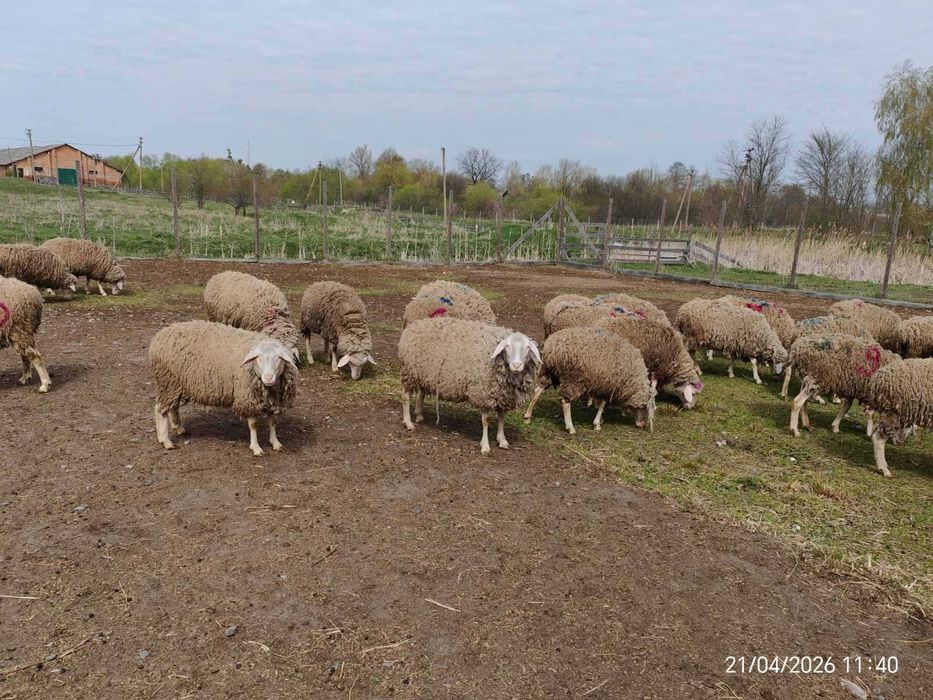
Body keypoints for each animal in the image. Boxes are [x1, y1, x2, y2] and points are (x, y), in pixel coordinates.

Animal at [148, 320, 298, 456]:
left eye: (278, 359)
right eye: (258, 359)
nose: (268, 378)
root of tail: (159, 336)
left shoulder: (274, 398)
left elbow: (273, 422)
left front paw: (276, 443)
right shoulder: (247, 397)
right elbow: (254, 424)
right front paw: (256, 448)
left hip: (176, 384)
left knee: (172, 407)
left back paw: (178, 428)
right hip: (167, 381)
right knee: (159, 409)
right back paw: (165, 440)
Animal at [398, 317, 540, 454]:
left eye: (527, 347)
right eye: (507, 346)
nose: (516, 365)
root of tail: (415, 325)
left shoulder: (502, 394)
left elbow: (501, 418)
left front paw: (502, 440)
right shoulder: (483, 394)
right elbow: (485, 421)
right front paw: (485, 446)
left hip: (424, 373)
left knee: (421, 392)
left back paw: (419, 415)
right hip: (409, 371)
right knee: (405, 397)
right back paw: (408, 422)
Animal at [523, 326, 656, 434]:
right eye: (645, 408)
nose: (641, 425)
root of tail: (553, 346)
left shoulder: (602, 384)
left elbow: (600, 403)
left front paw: (599, 420)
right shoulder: (608, 385)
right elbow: (602, 404)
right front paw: (597, 423)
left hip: (549, 372)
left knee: (537, 391)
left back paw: (527, 417)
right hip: (573, 379)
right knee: (565, 402)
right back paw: (570, 427)